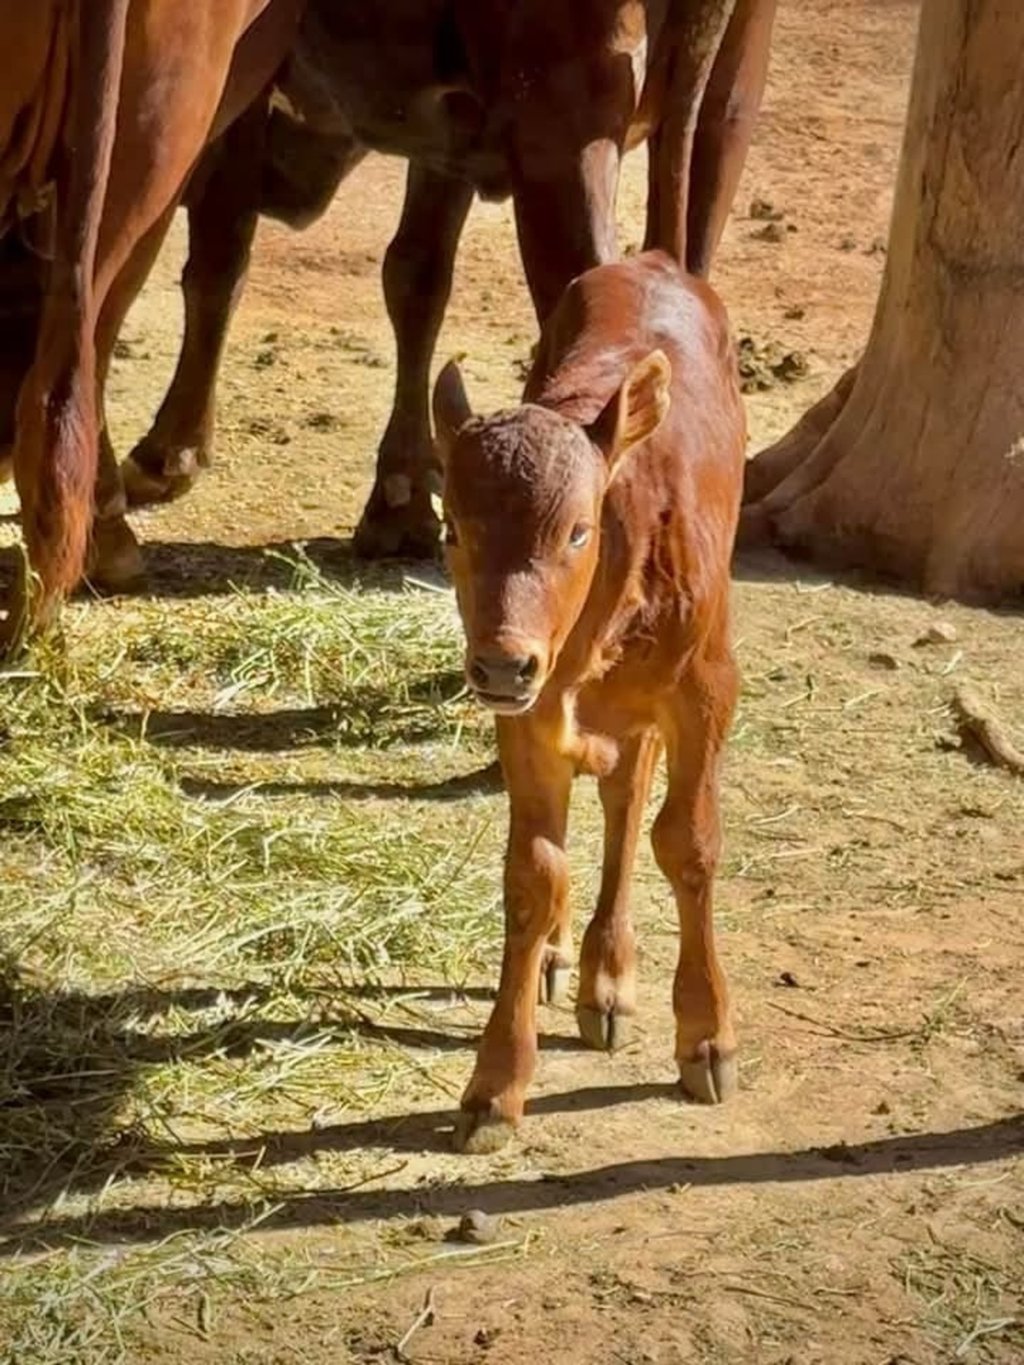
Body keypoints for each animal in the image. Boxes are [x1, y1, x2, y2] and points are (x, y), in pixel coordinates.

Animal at [114, 0, 775, 576]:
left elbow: (218, 261)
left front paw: (169, 452)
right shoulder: (447, 138)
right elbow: (416, 277)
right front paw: (402, 501)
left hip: (566, 130)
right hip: (725, 104)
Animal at [434, 248, 748, 1152]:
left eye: (577, 529)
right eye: (452, 528)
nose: (499, 663)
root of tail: (653, 259)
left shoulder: (707, 688)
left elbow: (688, 842)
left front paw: (706, 1036)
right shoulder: (532, 714)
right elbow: (534, 873)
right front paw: (495, 1086)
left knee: (630, 799)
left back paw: (609, 975)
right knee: (614, 794)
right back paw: (570, 961)